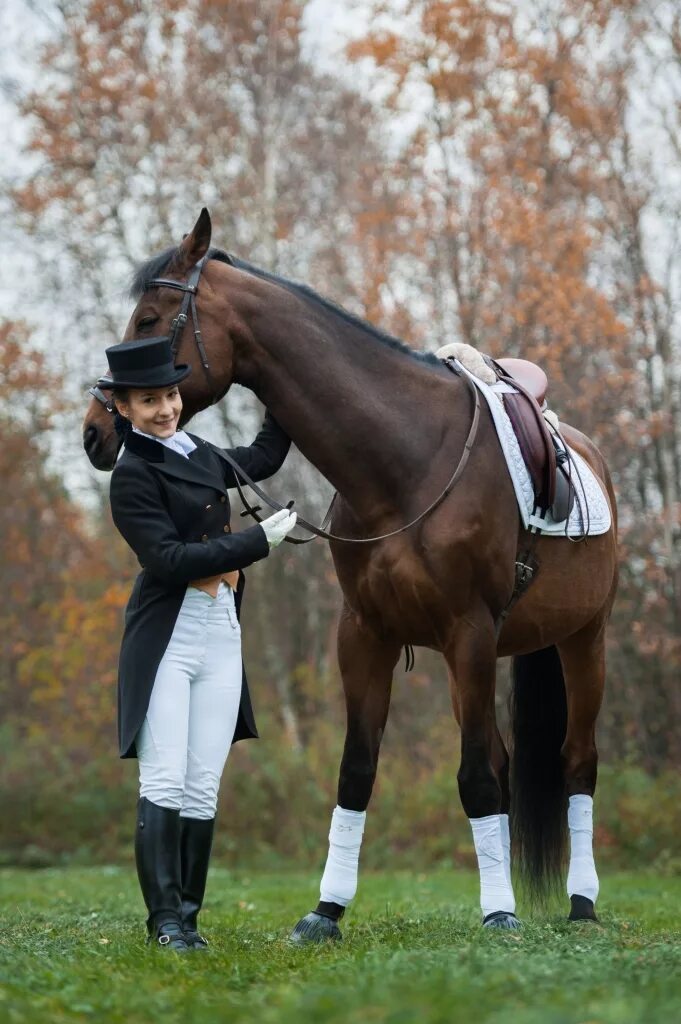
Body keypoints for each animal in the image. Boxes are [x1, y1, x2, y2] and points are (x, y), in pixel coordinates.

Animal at [83, 211, 614, 937]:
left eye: (149, 318)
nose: (94, 433)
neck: (407, 459)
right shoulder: (364, 634)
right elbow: (358, 771)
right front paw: (326, 911)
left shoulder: (468, 633)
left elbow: (476, 775)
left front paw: (498, 914)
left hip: (583, 639)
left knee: (576, 763)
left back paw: (581, 904)